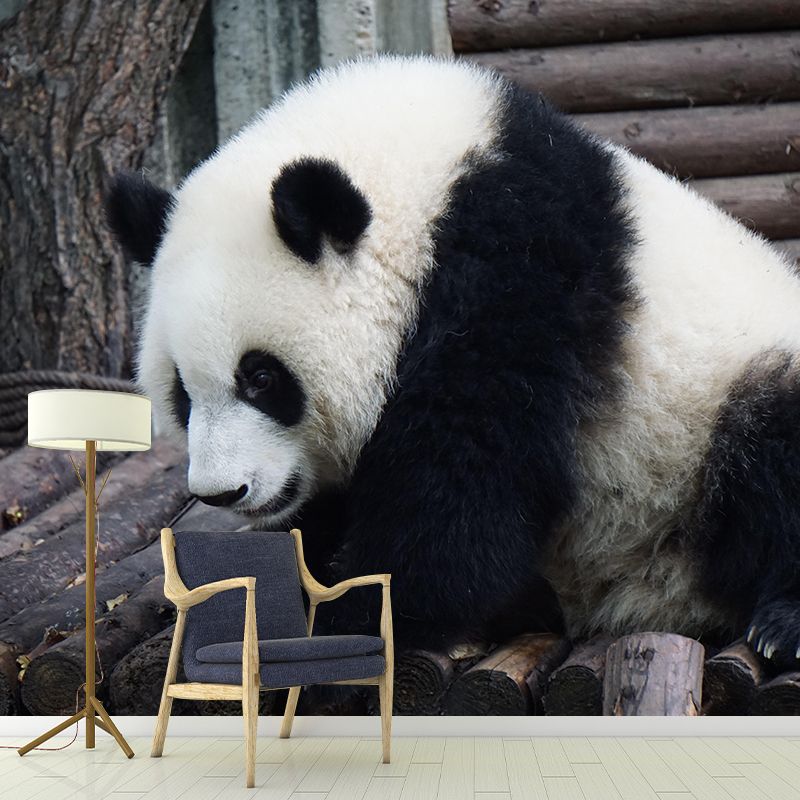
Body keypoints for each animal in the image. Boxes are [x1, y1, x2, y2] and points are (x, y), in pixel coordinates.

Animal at [108, 55, 800, 669]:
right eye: (182, 392)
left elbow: (465, 483)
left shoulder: (517, 278)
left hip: (709, 416)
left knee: (767, 445)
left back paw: (778, 625)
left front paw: (351, 615)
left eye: (261, 378)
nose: (222, 492)